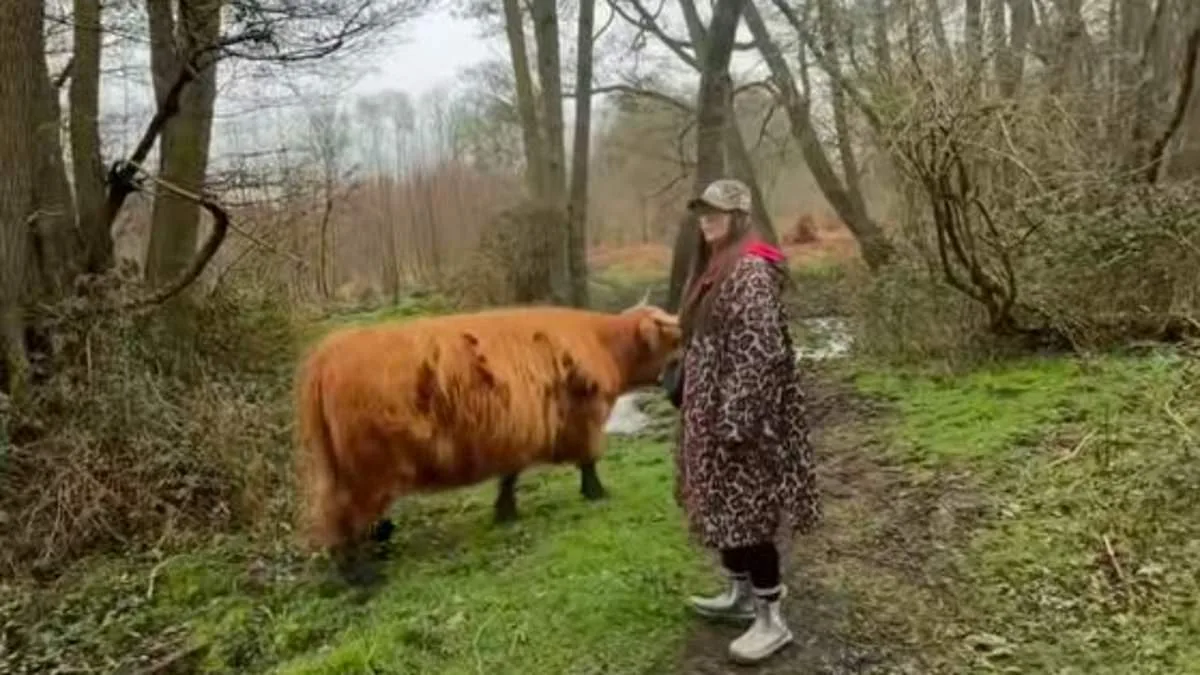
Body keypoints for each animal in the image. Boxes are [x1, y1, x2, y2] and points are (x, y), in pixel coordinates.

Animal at [294, 297, 681, 582]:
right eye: (673, 344)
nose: (676, 386)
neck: (603, 343)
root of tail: (328, 353)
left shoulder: (518, 431)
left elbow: (510, 475)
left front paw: (505, 512)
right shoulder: (583, 418)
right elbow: (589, 459)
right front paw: (597, 494)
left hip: (339, 470)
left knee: (337, 517)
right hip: (365, 471)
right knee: (346, 518)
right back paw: (361, 577)